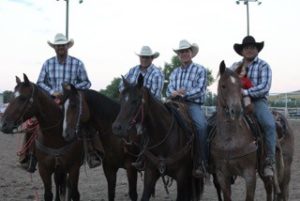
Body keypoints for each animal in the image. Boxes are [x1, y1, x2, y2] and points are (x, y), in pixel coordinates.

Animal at [212, 61, 294, 201]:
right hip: (264, 171)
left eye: (240, 86)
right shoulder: (222, 175)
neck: (230, 140)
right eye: (223, 86)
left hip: (286, 167)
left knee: (284, 191)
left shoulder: (249, 174)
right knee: (270, 189)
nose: (236, 110)